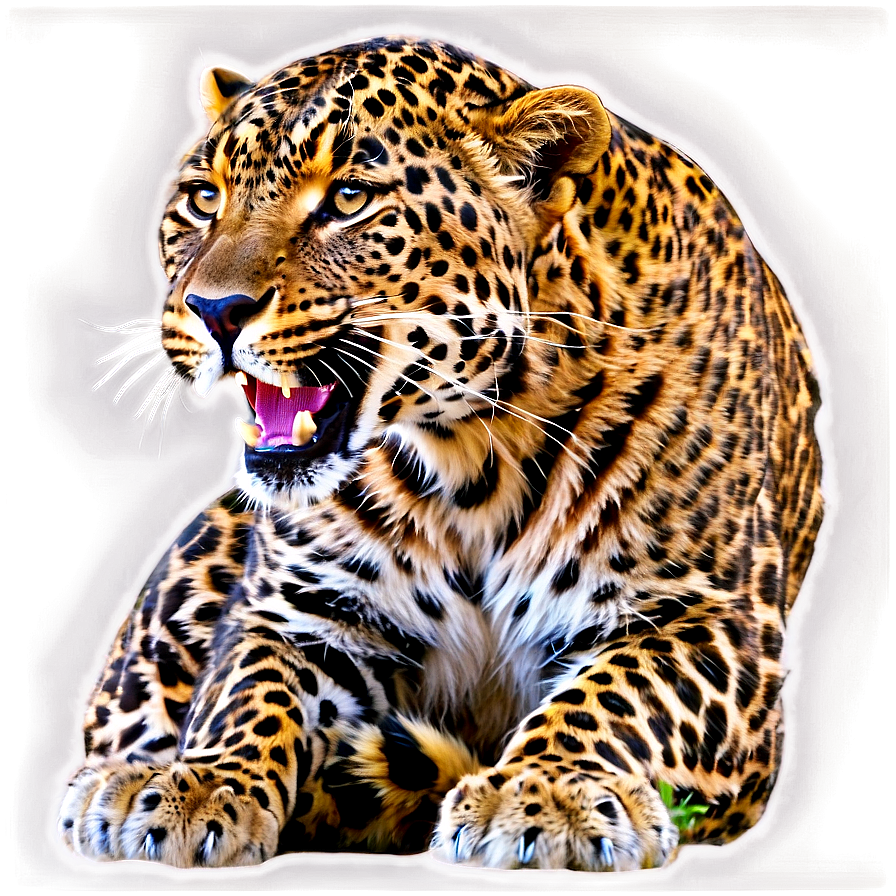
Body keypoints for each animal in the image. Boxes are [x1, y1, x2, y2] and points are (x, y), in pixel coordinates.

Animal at [56, 36, 825, 872]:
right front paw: (199, 783)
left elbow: (623, 691)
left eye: (349, 199)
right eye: (203, 199)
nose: (214, 309)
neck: (474, 455)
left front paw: (545, 793)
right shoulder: (295, 606)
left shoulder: (714, 616)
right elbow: (247, 688)